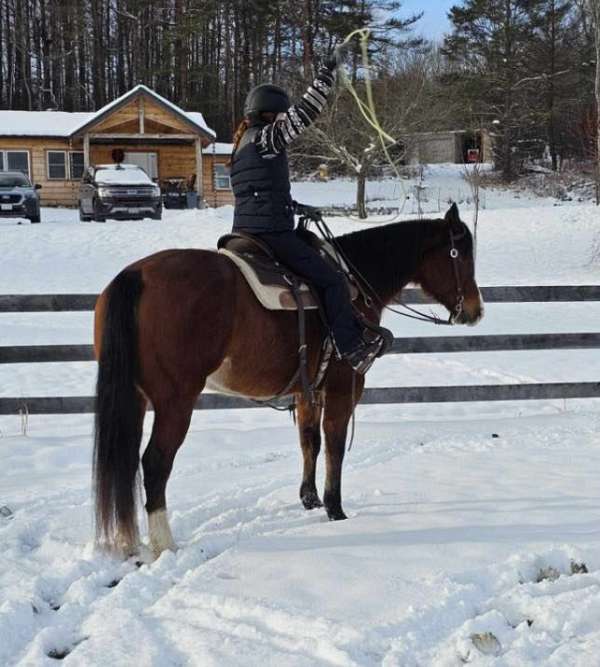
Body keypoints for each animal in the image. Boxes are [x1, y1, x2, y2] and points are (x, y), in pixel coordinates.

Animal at [95, 204, 482, 560]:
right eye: (460, 255)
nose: (475, 311)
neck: (353, 286)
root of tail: (136, 275)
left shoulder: (308, 390)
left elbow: (309, 440)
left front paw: (310, 499)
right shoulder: (343, 388)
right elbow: (334, 444)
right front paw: (335, 509)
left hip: (134, 398)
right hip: (176, 401)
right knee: (155, 463)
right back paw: (164, 544)